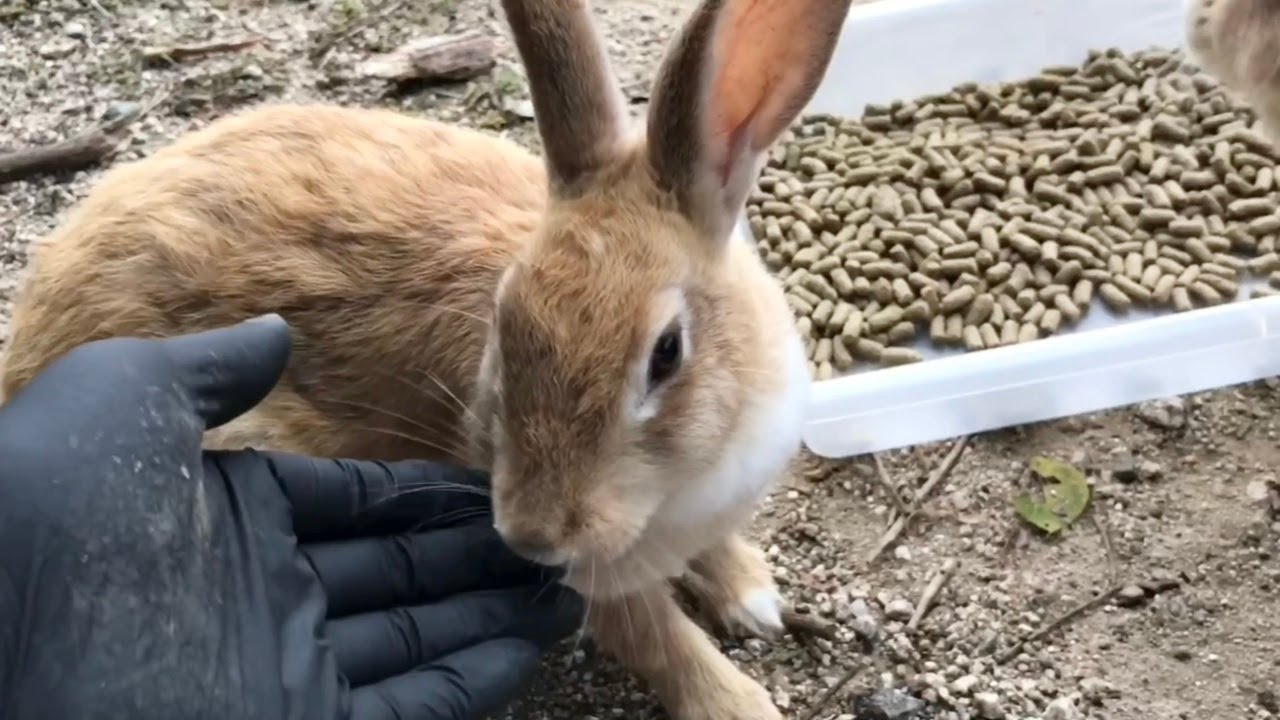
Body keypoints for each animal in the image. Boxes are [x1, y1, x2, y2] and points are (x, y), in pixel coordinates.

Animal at [0, 0, 856, 717]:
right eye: (503, 328)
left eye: (667, 353)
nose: (533, 537)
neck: (688, 477)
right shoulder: (604, 581)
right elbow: (660, 642)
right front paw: (742, 704)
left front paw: (754, 597)